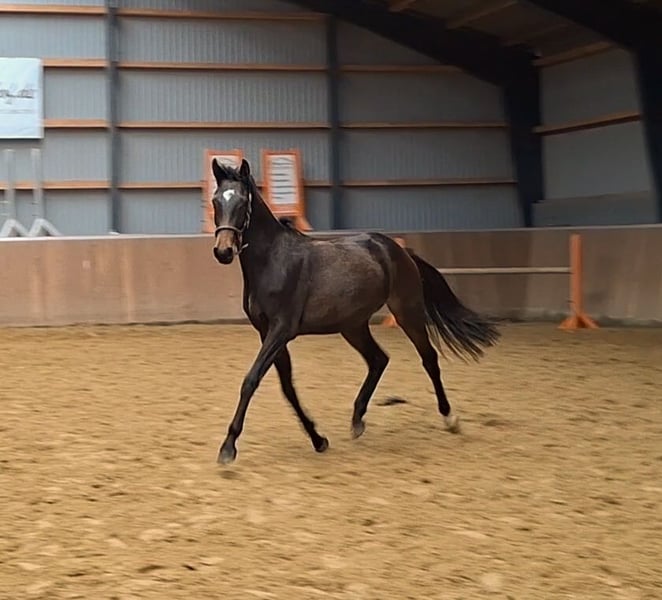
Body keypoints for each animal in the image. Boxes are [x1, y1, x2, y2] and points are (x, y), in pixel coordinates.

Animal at [210, 158, 500, 465]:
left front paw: (228, 448)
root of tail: (400, 250)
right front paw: (319, 440)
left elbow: (251, 380)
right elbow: (287, 387)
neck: (273, 261)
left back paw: (449, 418)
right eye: (216, 200)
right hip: (353, 326)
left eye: (242, 201)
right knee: (379, 359)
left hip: (406, 312)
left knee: (428, 358)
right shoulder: (267, 332)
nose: (223, 251)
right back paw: (357, 419)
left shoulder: (281, 330)